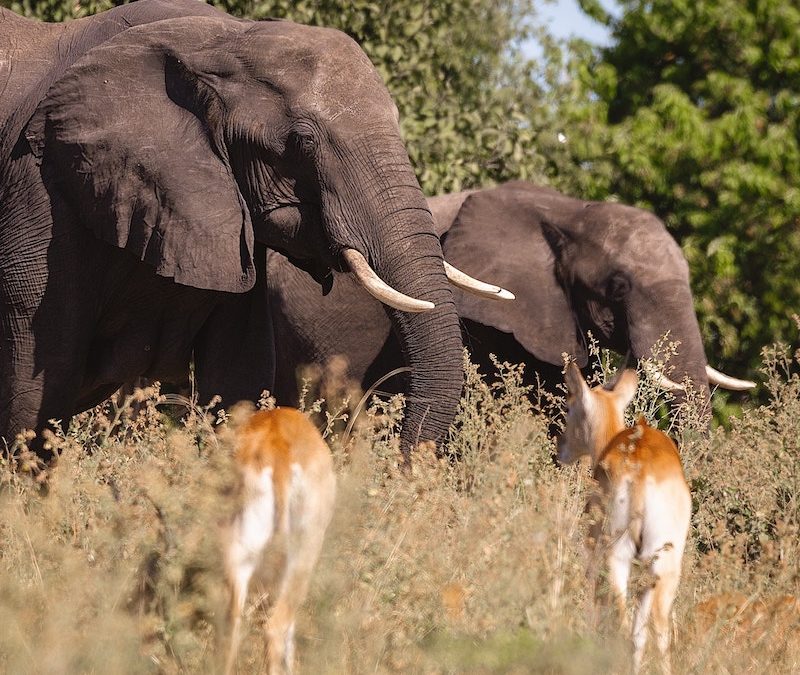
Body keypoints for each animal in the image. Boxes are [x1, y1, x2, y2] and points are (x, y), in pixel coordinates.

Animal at [1, 1, 512, 460]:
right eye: (302, 141)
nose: (397, 466)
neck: (219, 38)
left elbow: (239, 373)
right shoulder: (40, 189)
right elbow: (36, 389)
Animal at [556, 364, 692, 675]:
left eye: (570, 406)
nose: (561, 448)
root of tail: (640, 469)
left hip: (616, 556)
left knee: (619, 621)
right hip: (662, 566)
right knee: (657, 628)